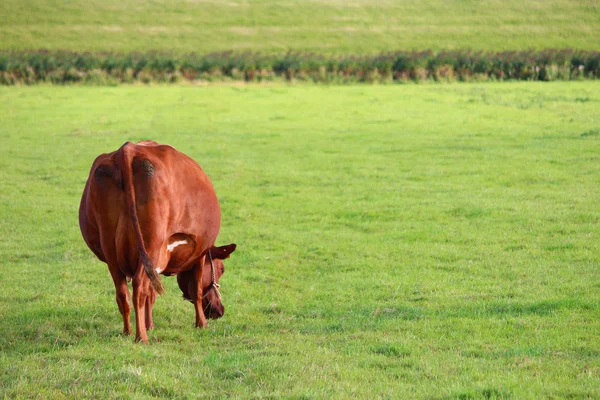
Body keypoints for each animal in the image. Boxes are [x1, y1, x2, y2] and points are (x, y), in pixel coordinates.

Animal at [79, 141, 237, 344]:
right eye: (221, 269)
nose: (219, 311)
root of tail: (128, 149)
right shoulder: (198, 254)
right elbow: (196, 290)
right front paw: (201, 324)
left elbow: (151, 293)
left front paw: (150, 324)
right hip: (151, 243)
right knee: (139, 287)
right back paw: (141, 337)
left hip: (111, 249)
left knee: (123, 293)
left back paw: (128, 332)